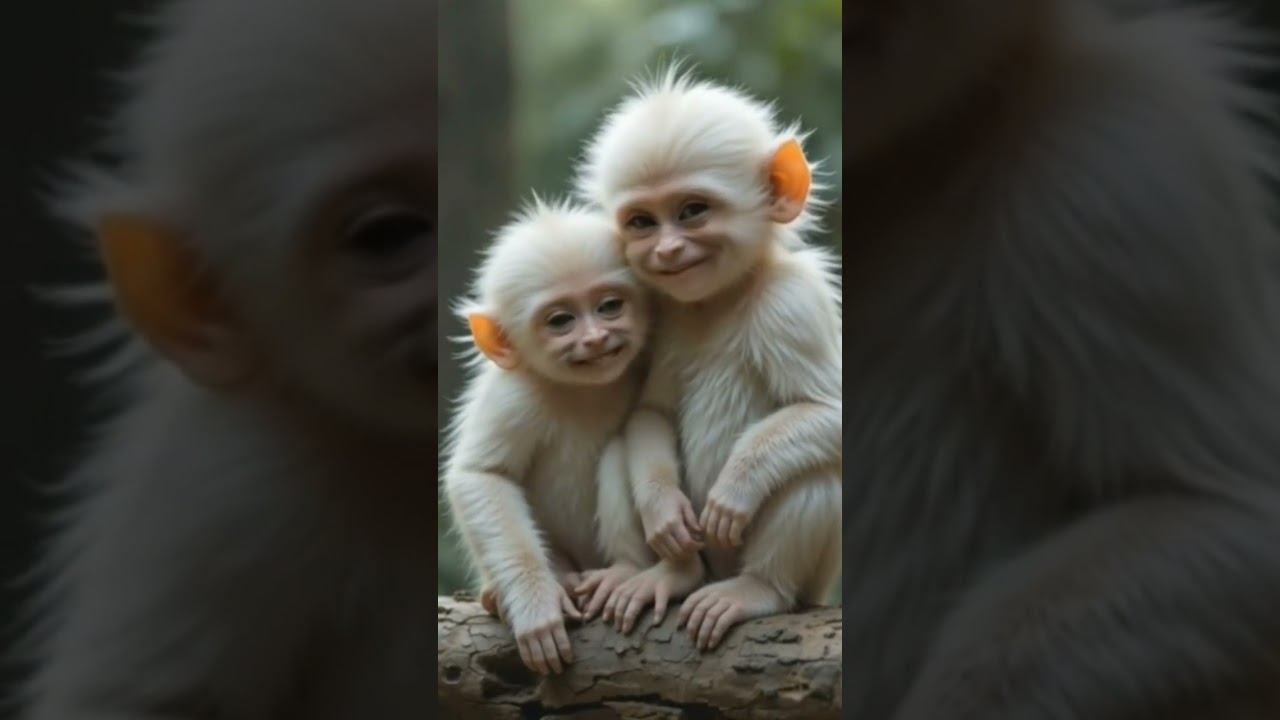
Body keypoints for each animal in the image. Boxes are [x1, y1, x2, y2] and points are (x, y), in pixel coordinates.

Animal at [442, 198, 706, 675]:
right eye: (561, 321)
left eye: (609, 307)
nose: (597, 339)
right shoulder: (514, 394)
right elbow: (482, 476)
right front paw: (535, 606)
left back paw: (628, 571)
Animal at [573, 67, 844, 651]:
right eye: (643, 222)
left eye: (692, 211)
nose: (668, 252)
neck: (722, 298)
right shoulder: (664, 314)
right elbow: (650, 412)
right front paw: (664, 513)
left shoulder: (792, 304)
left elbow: (831, 412)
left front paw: (735, 488)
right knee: (620, 449)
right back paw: (667, 573)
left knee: (818, 468)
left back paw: (756, 588)